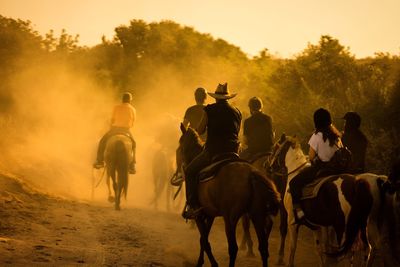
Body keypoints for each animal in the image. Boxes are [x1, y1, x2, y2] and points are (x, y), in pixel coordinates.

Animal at [179, 124, 282, 266]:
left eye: (180, 144)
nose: (181, 165)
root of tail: (251, 174)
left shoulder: (199, 215)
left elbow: (204, 240)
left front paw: (210, 263)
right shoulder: (210, 215)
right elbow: (203, 239)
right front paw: (202, 261)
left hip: (231, 219)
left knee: (233, 248)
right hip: (257, 215)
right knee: (263, 248)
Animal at [270, 136, 386, 267]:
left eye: (275, 147)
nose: (269, 166)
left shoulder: (292, 222)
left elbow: (292, 248)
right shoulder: (316, 226)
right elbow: (319, 248)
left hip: (346, 225)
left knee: (351, 250)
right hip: (365, 223)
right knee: (369, 247)